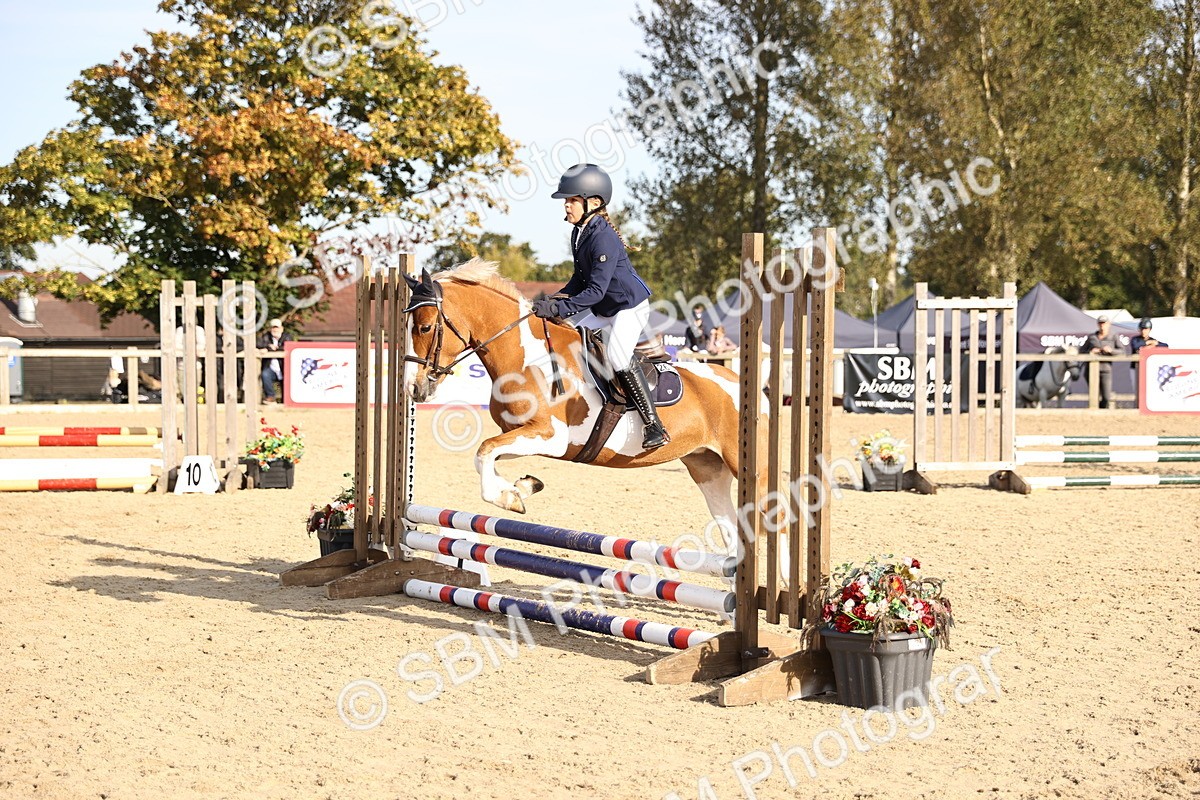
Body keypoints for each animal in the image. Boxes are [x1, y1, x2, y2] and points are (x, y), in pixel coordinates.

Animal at [401, 259, 767, 553]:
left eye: (425, 327)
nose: (413, 388)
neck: (526, 354)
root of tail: (743, 383)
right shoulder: (521, 434)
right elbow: (487, 457)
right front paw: (522, 488)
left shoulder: (551, 437)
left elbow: (484, 451)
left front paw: (510, 496)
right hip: (707, 468)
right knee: (732, 531)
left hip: (747, 469)